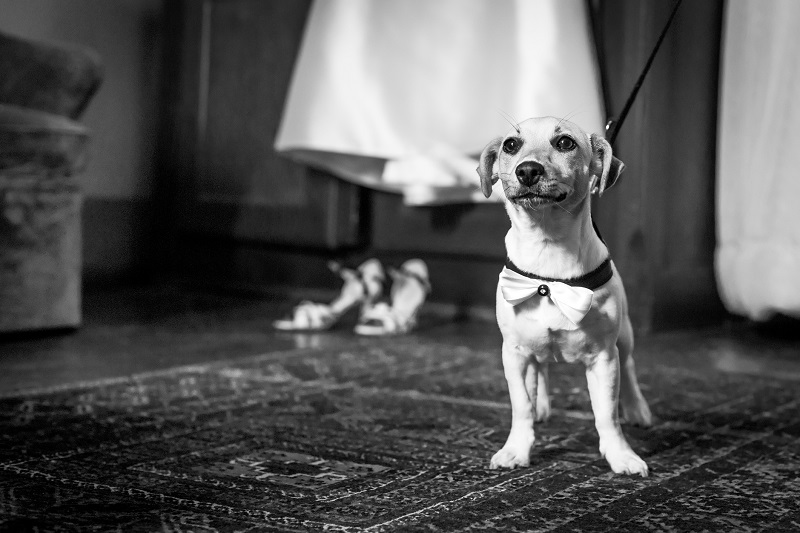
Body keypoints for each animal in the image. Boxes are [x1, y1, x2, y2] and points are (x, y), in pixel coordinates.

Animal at [478, 115, 652, 474]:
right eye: (510, 145)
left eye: (565, 143)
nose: (528, 170)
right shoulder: (514, 354)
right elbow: (521, 406)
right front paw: (516, 448)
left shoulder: (604, 357)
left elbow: (607, 415)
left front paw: (621, 455)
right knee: (541, 372)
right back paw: (542, 405)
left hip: (625, 336)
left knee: (629, 368)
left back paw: (637, 408)